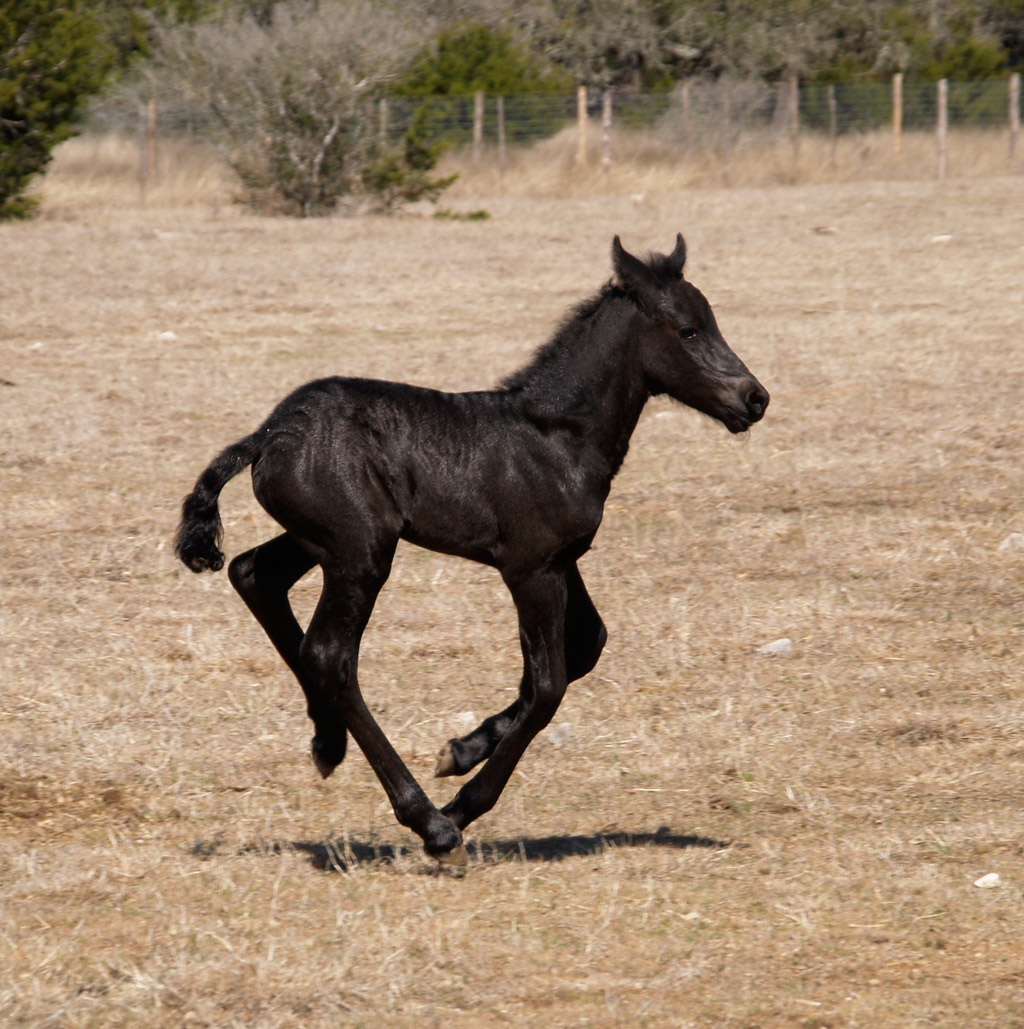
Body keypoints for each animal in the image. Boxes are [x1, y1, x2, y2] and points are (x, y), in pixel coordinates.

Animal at [175, 231, 769, 860]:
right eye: (689, 330)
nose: (755, 398)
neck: (558, 437)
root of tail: (268, 436)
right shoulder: (531, 569)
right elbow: (548, 685)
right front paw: (462, 804)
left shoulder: (563, 561)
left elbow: (586, 646)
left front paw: (458, 751)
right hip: (361, 554)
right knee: (330, 655)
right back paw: (430, 823)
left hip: (325, 542)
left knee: (252, 573)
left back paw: (327, 742)